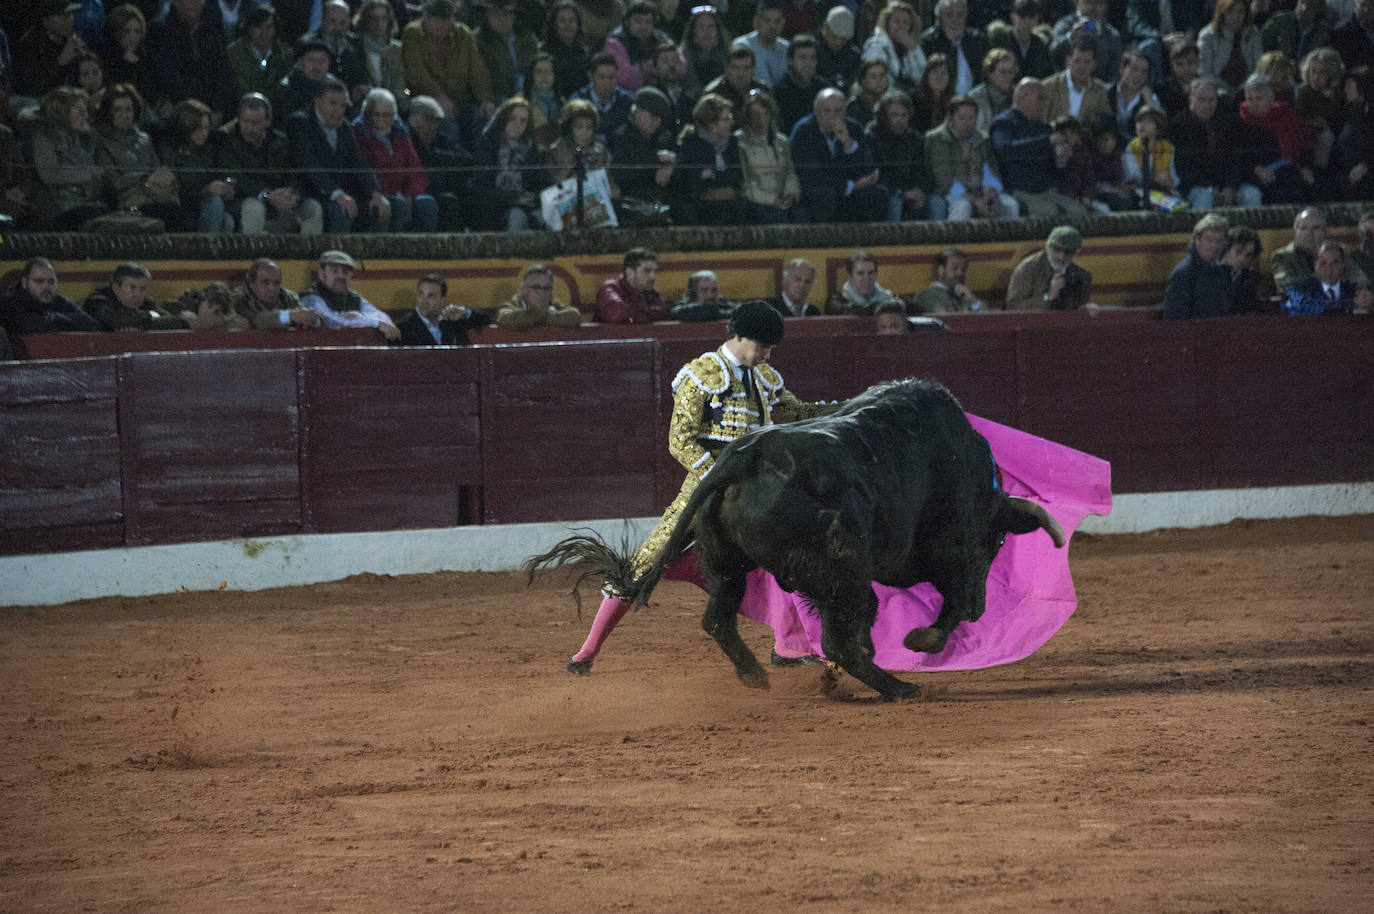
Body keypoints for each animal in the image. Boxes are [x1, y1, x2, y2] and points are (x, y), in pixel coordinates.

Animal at [535, 376, 1060, 698]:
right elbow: (948, 601)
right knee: (841, 635)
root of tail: (742, 459)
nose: (980, 609)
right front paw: (924, 639)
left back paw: (756, 674)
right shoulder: (952, 549)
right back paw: (898, 688)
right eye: (995, 545)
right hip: (843, 570)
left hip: (726, 565)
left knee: (720, 620)